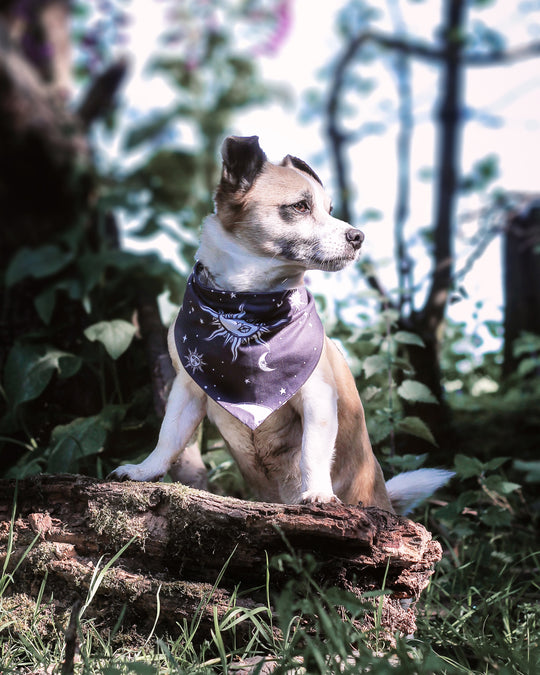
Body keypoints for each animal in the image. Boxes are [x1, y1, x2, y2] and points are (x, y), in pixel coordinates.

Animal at [112, 137, 454, 516]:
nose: (358, 236)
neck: (246, 306)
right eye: (301, 206)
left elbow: (311, 454)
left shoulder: (318, 398)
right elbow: (168, 437)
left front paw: (317, 492)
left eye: (329, 208)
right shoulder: (187, 391)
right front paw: (144, 471)